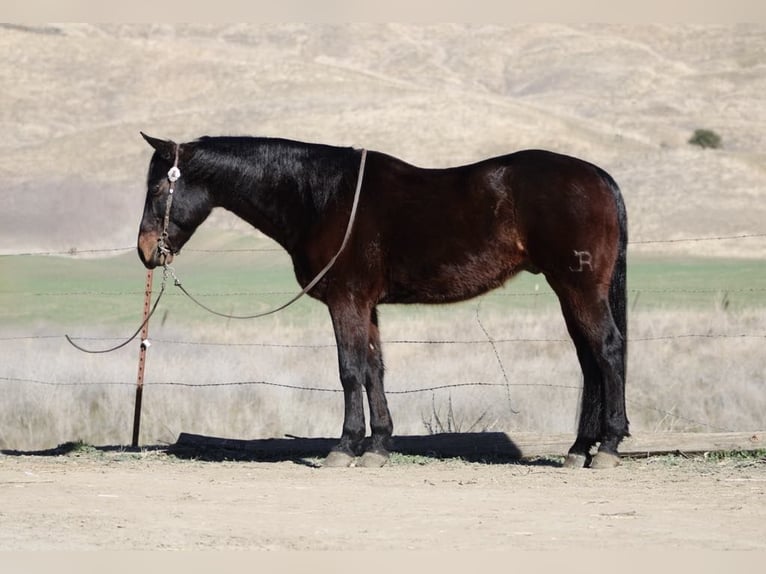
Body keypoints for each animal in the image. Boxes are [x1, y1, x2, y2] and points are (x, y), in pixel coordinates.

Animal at [138, 135, 632, 472]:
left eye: (159, 190)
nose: (145, 251)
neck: (320, 197)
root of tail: (600, 178)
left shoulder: (346, 301)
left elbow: (349, 370)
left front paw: (343, 447)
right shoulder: (367, 306)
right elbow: (373, 368)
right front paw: (377, 446)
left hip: (579, 288)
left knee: (607, 351)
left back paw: (607, 447)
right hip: (569, 291)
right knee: (589, 359)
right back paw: (578, 450)